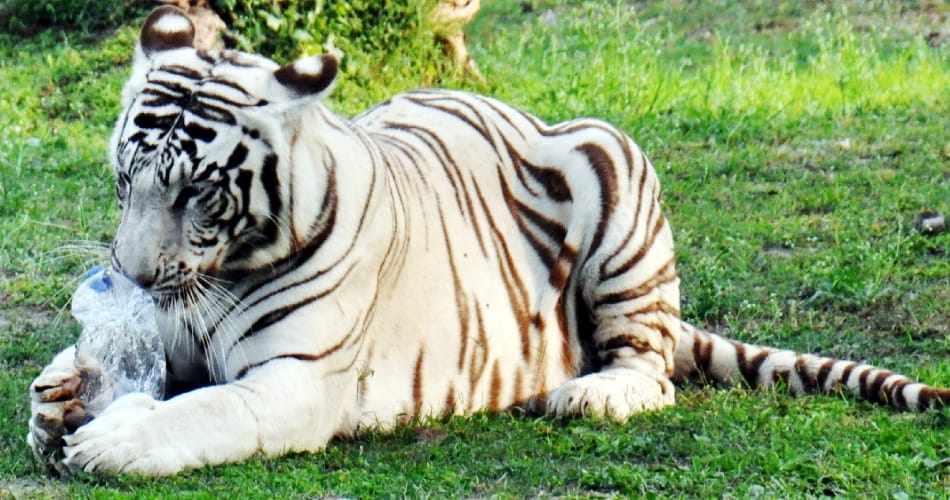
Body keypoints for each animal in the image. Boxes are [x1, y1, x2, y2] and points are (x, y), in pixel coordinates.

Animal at [27, 6, 950, 476]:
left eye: (195, 193)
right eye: (124, 180)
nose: (128, 274)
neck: (228, 267)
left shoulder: (296, 381)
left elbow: (206, 408)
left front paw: (112, 439)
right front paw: (60, 399)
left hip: (613, 164)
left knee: (653, 372)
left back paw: (588, 394)